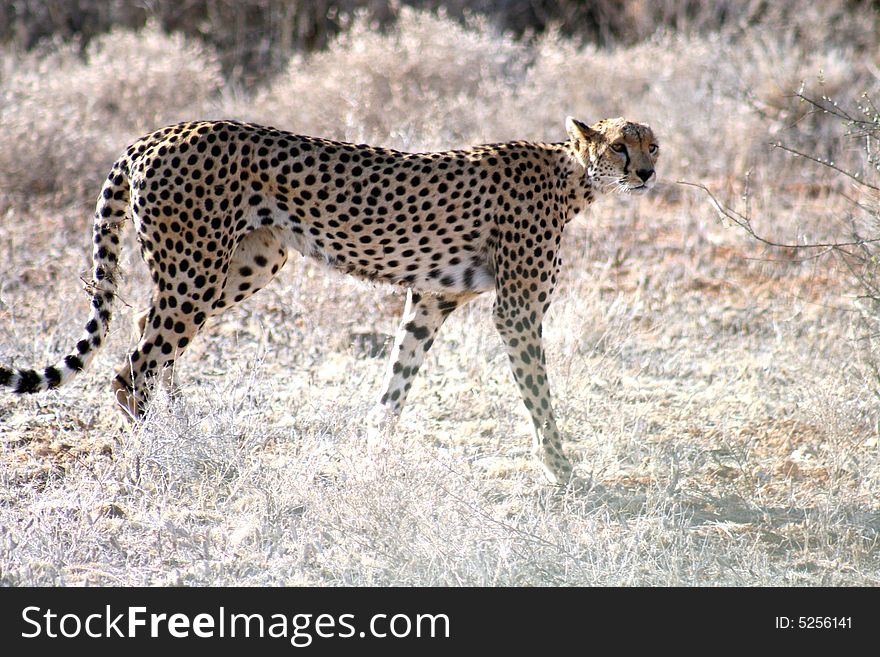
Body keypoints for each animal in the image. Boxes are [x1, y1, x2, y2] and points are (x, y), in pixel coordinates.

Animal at [1, 115, 660, 484]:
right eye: (620, 148)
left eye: (652, 146)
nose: (649, 174)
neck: (574, 176)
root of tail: (155, 134)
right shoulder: (517, 312)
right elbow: (539, 397)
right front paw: (563, 471)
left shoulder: (431, 299)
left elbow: (398, 377)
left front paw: (374, 450)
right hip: (198, 270)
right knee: (132, 366)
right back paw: (160, 452)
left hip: (245, 264)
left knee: (145, 328)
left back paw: (182, 425)